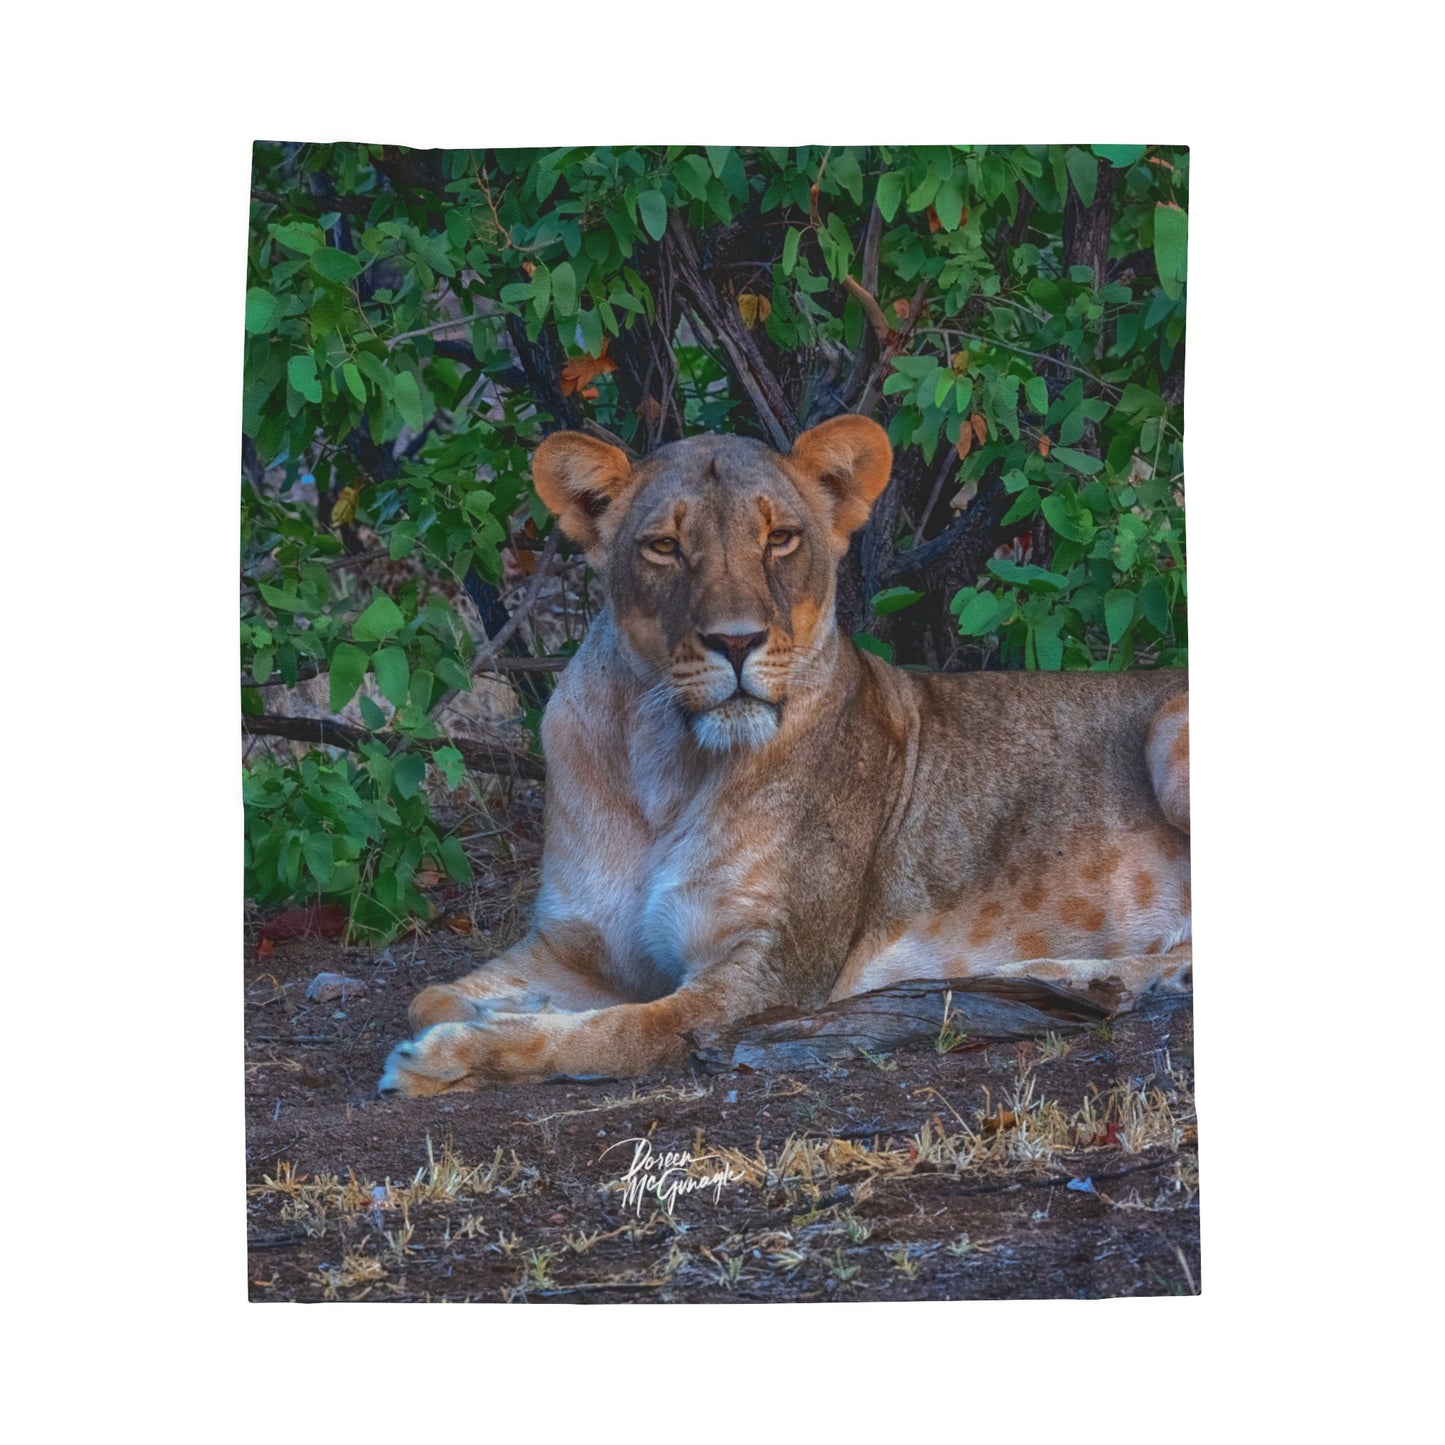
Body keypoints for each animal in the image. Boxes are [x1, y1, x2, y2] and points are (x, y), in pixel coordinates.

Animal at [378, 415, 1189, 1095]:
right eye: (665, 546)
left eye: (780, 539)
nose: (735, 641)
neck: (663, 762)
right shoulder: (576, 944)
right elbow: (428, 996)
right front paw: (481, 1017)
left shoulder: (766, 975)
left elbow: (618, 1032)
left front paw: (454, 1057)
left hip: (1168, 731)